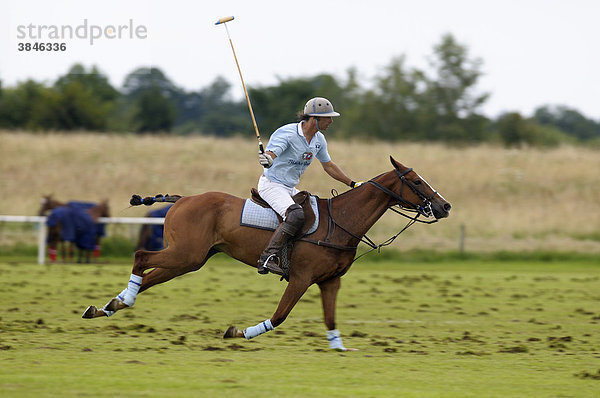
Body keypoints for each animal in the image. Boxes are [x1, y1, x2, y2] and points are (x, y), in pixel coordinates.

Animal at [83, 157, 450, 350]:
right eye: (417, 181)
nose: (444, 206)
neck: (341, 221)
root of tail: (182, 198)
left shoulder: (330, 281)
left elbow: (330, 318)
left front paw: (340, 348)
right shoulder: (301, 277)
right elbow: (280, 316)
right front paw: (239, 332)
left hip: (190, 259)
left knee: (149, 277)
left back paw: (108, 306)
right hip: (185, 254)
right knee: (141, 257)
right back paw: (119, 301)